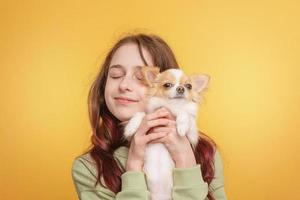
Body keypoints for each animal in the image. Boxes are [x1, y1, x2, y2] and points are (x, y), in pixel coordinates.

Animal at [123, 66, 210, 199]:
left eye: (189, 86)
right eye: (167, 85)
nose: (181, 88)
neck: (172, 108)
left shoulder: (192, 135)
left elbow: (185, 113)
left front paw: (181, 126)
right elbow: (142, 114)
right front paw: (130, 127)